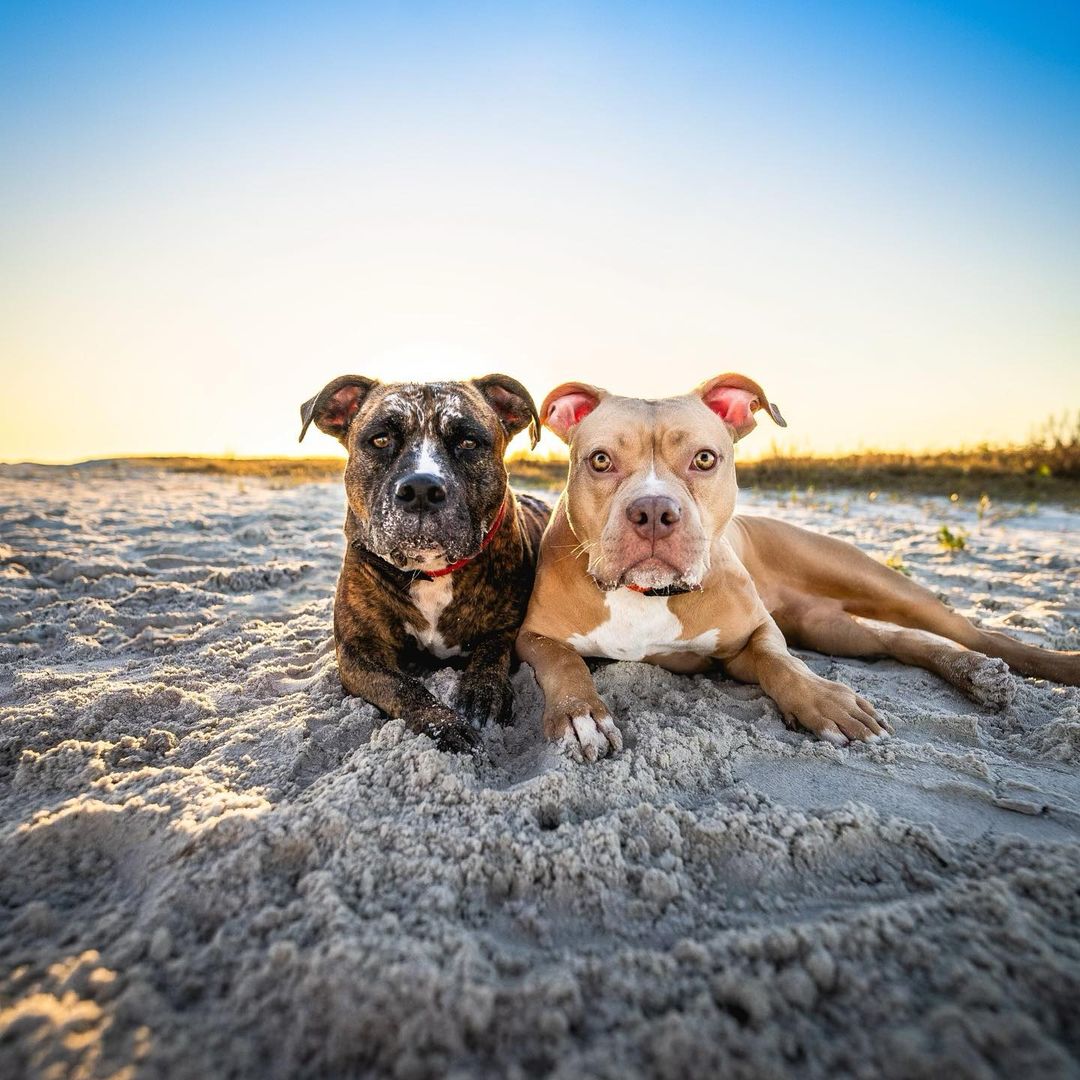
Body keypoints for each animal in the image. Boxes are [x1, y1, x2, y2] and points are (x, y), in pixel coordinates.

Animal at [298, 373, 548, 751]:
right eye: (380, 439)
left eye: (469, 441)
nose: (420, 489)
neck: (431, 571)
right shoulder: (358, 650)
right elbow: (402, 685)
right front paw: (443, 723)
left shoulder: (508, 627)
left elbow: (492, 652)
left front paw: (482, 692)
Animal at [516, 375, 1080, 764]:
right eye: (600, 461)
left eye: (705, 459)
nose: (654, 511)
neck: (644, 595)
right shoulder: (533, 636)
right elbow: (563, 661)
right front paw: (580, 717)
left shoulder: (753, 634)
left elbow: (780, 661)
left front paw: (822, 700)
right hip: (828, 626)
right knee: (897, 640)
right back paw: (975, 674)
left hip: (876, 582)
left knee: (971, 630)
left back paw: (1020, 668)